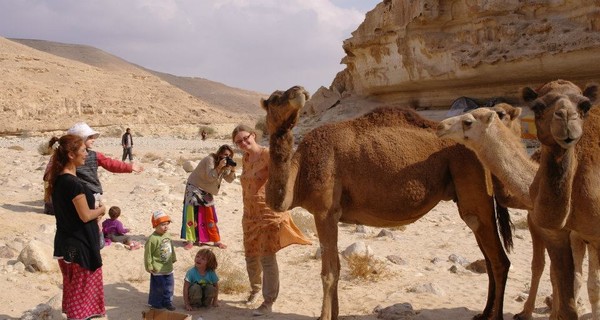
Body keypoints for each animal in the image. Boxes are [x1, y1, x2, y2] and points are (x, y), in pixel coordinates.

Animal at [260, 85, 512, 320]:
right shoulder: (331, 214)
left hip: (474, 189)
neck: (300, 172)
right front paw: (336, 313)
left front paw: (324, 317)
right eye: (274, 98)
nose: (299, 90)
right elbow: (337, 268)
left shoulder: (324, 211)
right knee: (488, 257)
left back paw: (495, 314)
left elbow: (329, 272)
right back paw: (484, 313)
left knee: (499, 259)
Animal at [436, 78, 600, 320]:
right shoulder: (556, 229)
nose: (440, 126)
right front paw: (535, 312)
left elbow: (585, 282)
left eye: (468, 121)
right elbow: (555, 273)